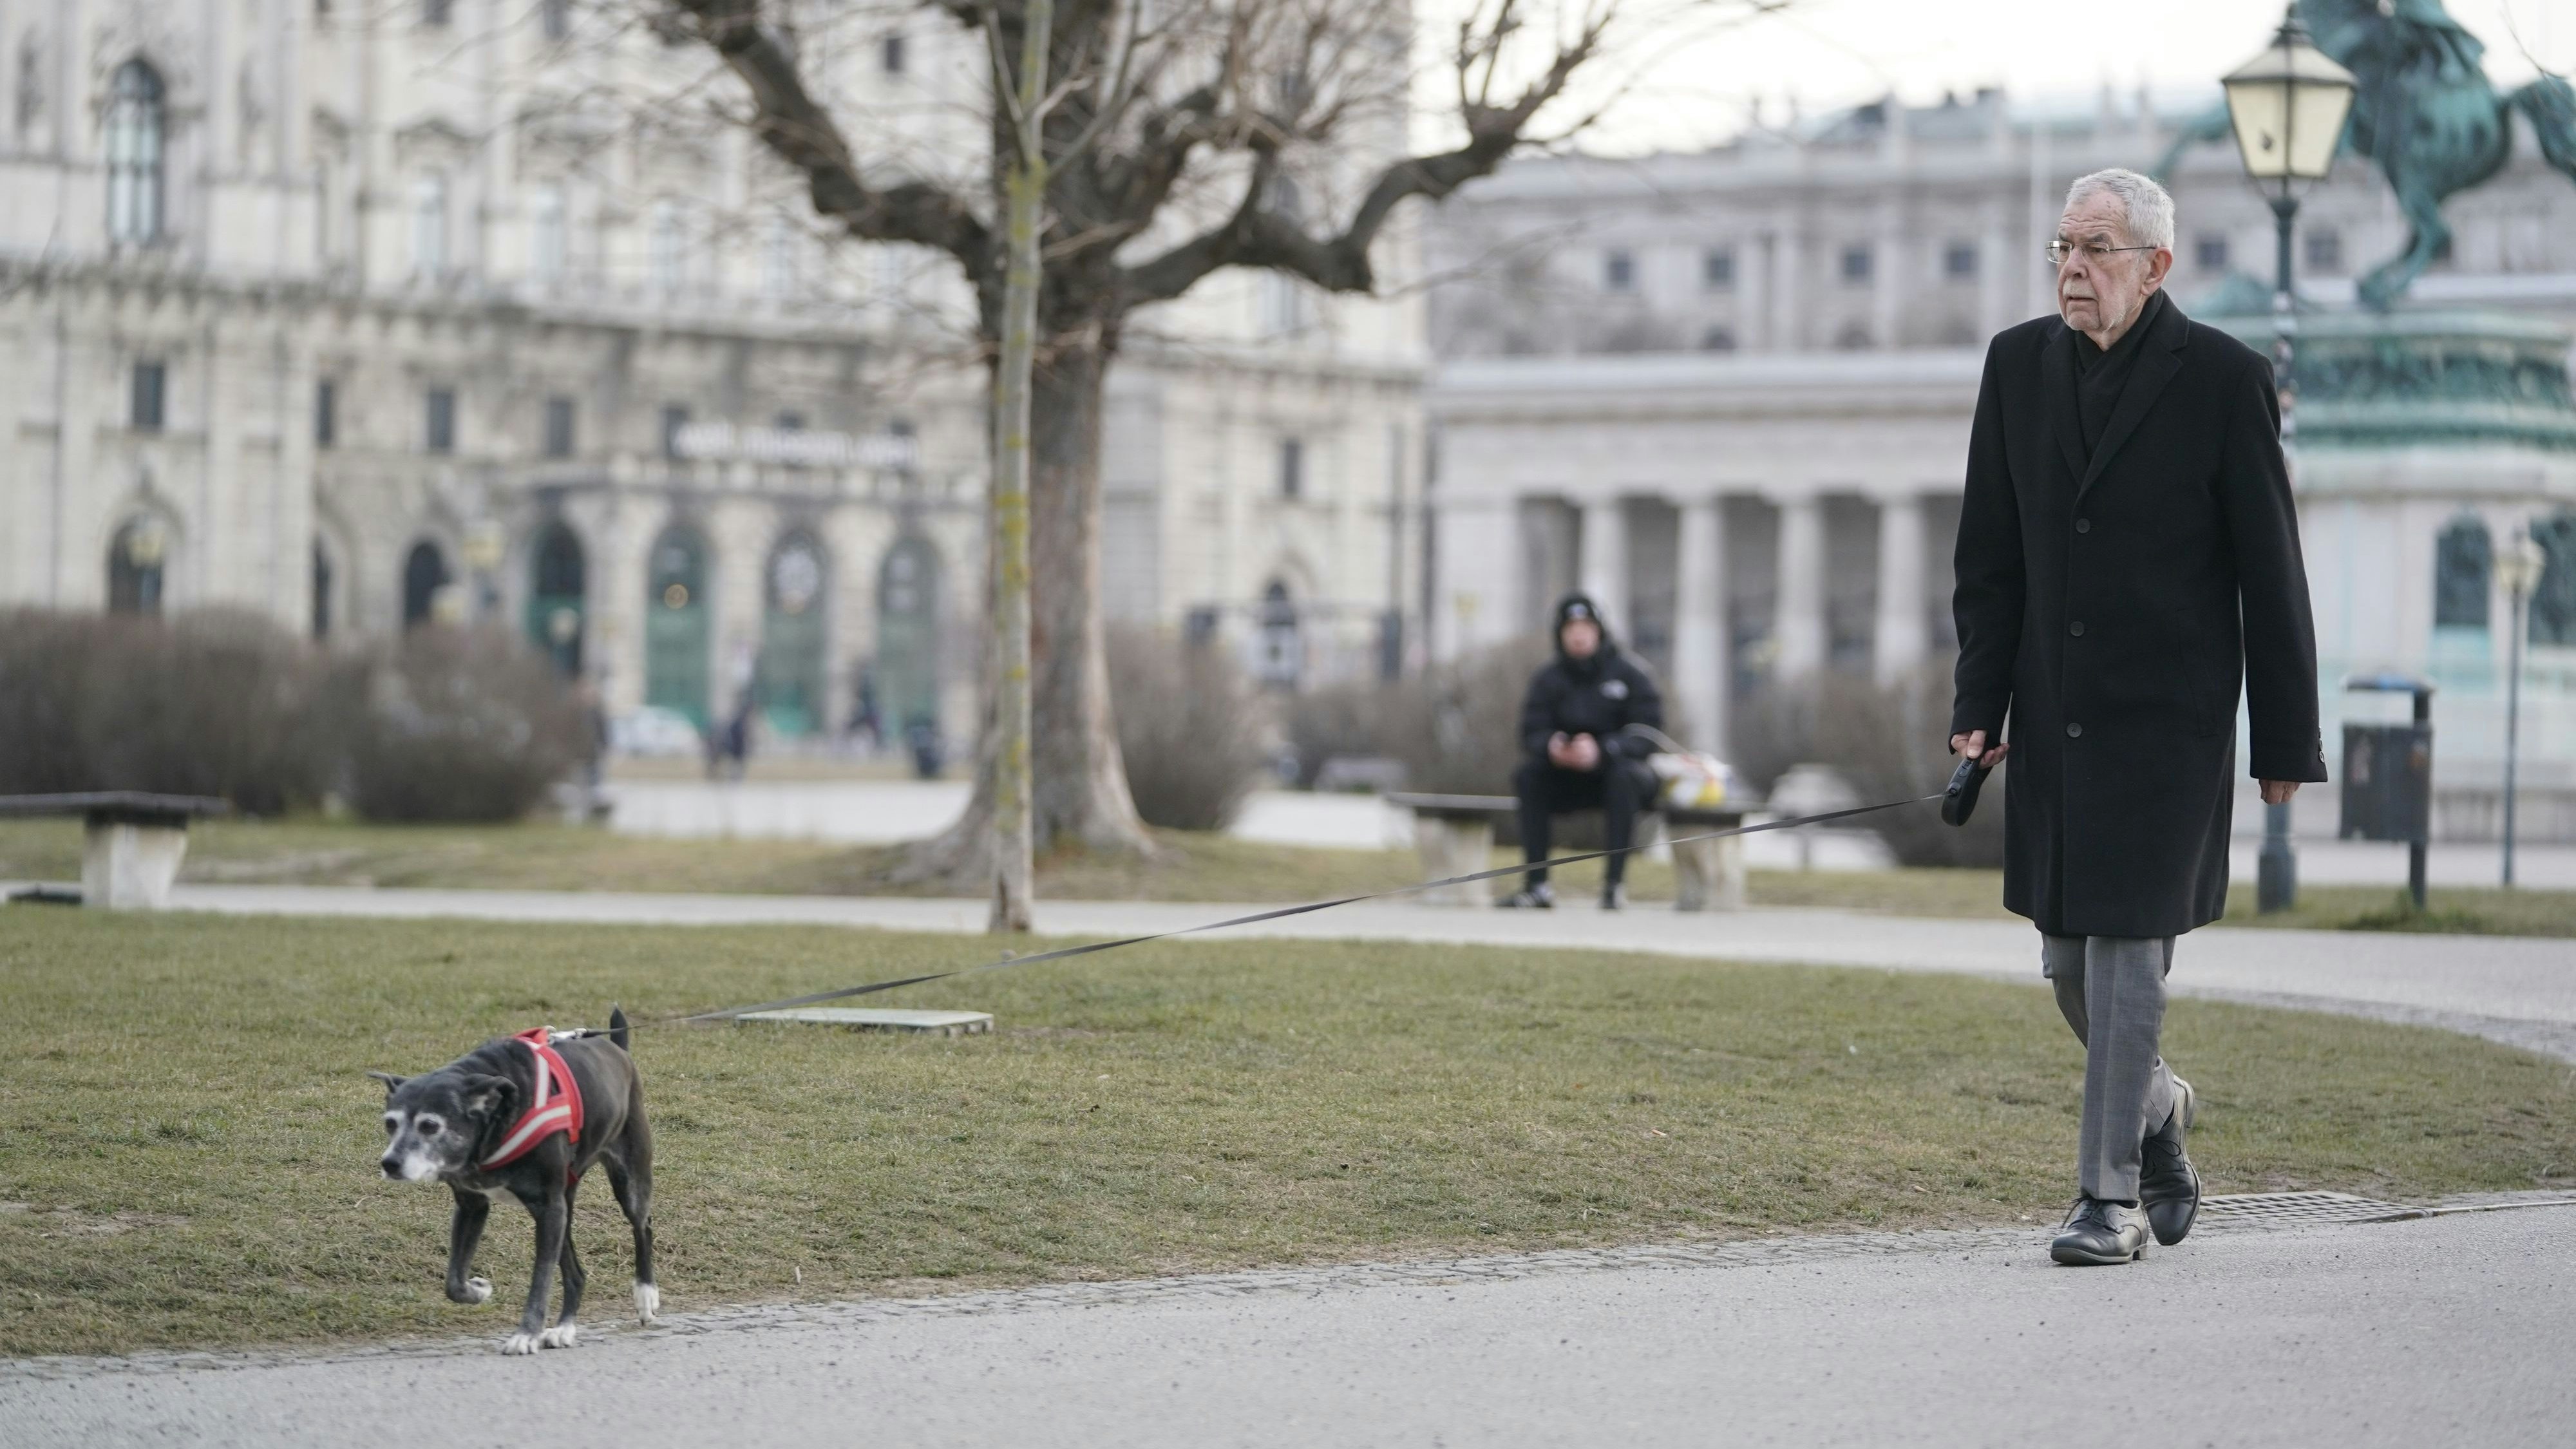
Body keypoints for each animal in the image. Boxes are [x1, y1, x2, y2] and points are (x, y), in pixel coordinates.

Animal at [371, 1005, 654, 1350]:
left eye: (429, 1125)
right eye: (390, 1123)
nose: (390, 1164)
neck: (497, 1118)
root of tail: (618, 1050)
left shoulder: (547, 1207)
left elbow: (541, 1280)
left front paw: (526, 1334)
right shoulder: (473, 1205)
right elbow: (454, 1282)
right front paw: (478, 1290)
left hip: (627, 1182)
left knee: (643, 1227)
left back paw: (645, 1295)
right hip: (564, 1204)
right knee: (575, 1273)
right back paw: (565, 1328)